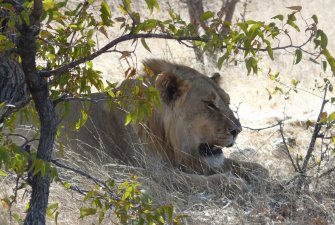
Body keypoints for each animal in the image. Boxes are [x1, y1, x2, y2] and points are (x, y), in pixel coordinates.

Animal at [55, 59, 270, 197]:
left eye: (227, 101)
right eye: (209, 104)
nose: (237, 130)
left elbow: (247, 166)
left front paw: (257, 174)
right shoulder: (154, 173)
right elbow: (207, 180)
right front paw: (237, 184)